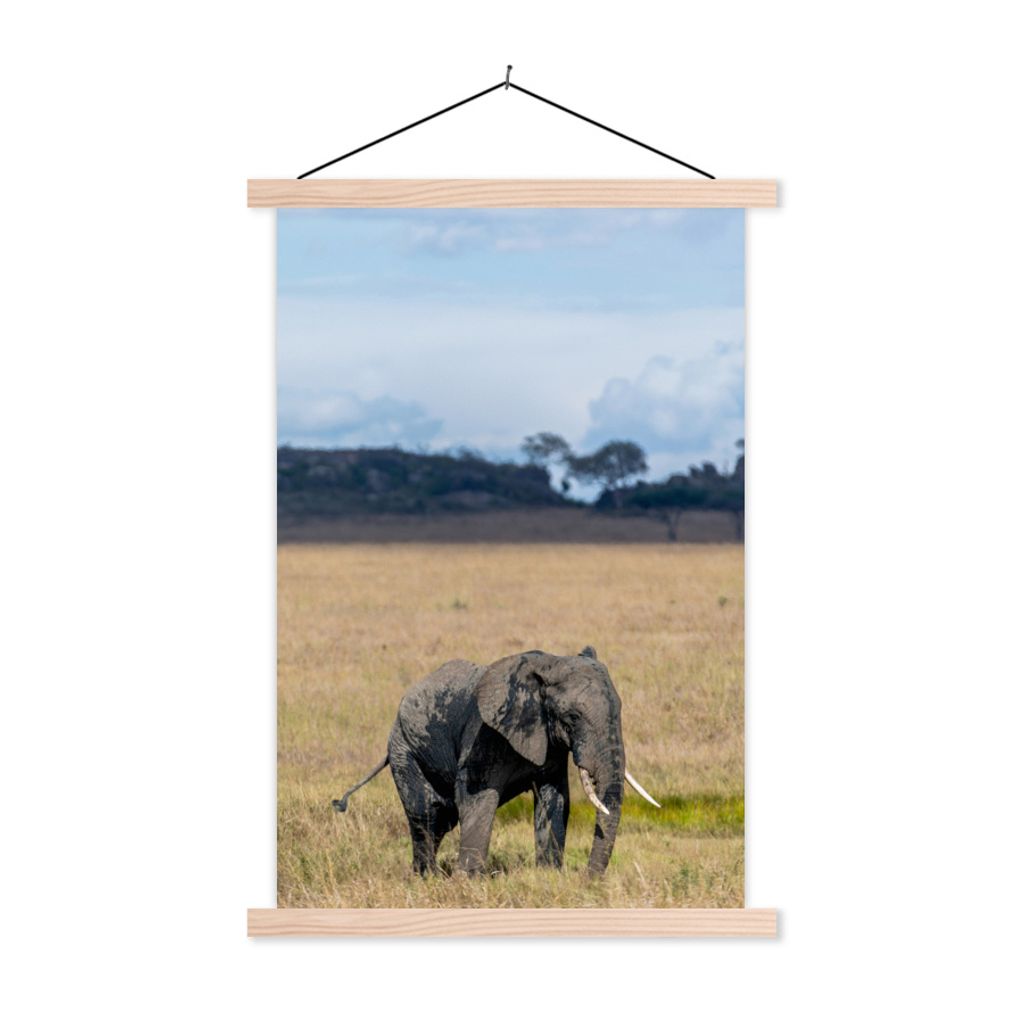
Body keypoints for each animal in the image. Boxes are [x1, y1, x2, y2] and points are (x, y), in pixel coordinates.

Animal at [332, 646, 660, 876]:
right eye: (573, 717)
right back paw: (425, 878)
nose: (588, 880)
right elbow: (478, 800)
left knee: (440, 819)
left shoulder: (550, 744)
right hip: (404, 748)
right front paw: (466, 882)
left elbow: (555, 799)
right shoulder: (485, 735)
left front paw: (549, 877)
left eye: (619, 710)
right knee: (425, 813)